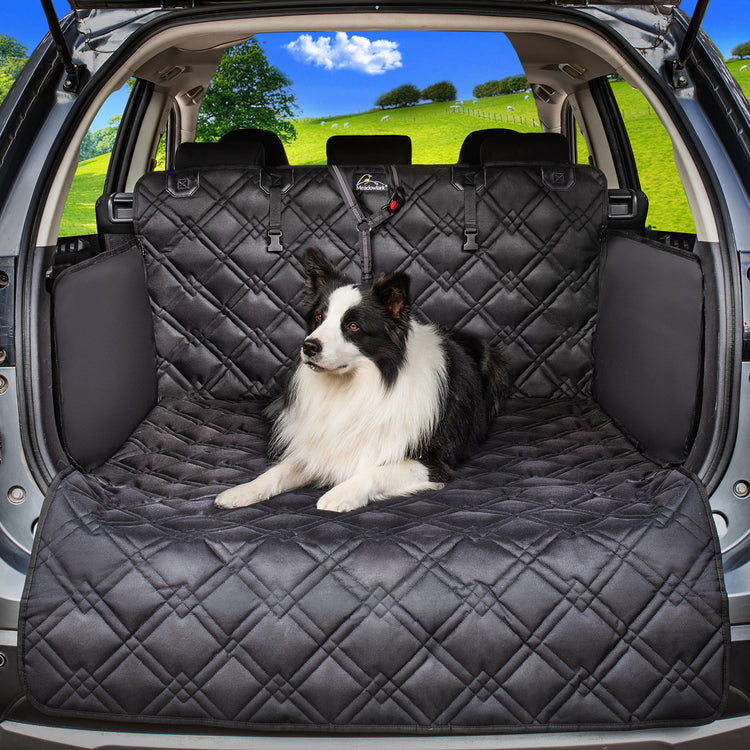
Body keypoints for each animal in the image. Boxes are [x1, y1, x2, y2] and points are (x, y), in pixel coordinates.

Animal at [216, 250, 512, 516]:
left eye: (353, 326)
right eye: (319, 318)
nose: (308, 347)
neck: (355, 385)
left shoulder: (434, 463)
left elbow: (375, 471)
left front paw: (340, 493)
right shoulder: (319, 448)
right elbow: (279, 470)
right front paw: (242, 491)